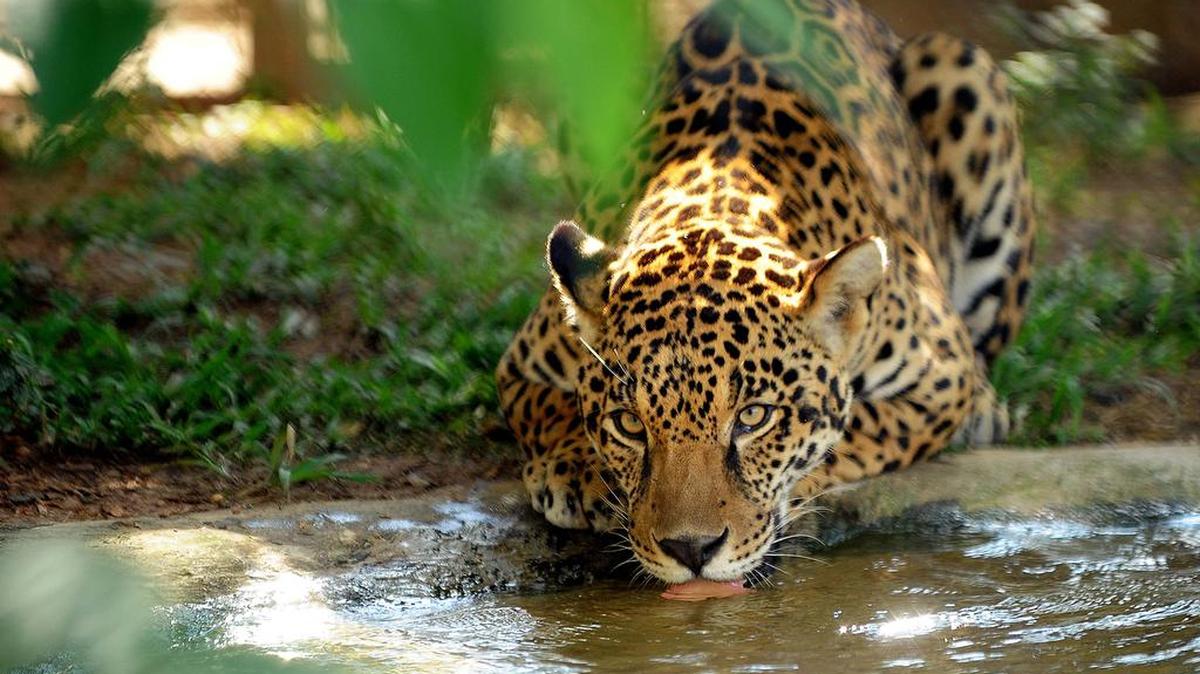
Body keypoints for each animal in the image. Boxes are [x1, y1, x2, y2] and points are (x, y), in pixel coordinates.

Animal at [495, 0, 1035, 585]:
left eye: (754, 418)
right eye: (629, 425)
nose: (691, 550)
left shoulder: (941, 378)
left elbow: (858, 429)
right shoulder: (520, 363)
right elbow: (549, 407)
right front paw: (579, 471)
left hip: (964, 71)